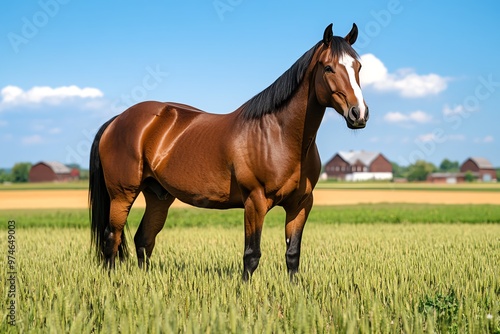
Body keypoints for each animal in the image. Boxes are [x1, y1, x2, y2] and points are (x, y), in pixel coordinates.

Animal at [90, 22, 370, 280]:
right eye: (329, 67)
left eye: (358, 67)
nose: (358, 113)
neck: (278, 135)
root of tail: (117, 120)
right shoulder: (255, 202)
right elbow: (251, 255)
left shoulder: (300, 205)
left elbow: (292, 255)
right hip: (122, 195)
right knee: (112, 238)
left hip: (158, 196)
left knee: (143, 239)